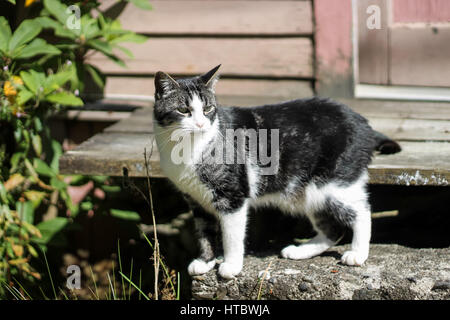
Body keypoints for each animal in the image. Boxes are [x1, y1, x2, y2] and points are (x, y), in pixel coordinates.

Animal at [152, 65, 400, 280]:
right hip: (307, 193)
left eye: (208, 109)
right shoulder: (195, 200)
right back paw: (301, 251)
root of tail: (363, 122)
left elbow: (231, 235)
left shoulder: (233, 196)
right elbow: (204, 232)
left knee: (362, 212)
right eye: (183, 110)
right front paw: (205, 261)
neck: (190, 149)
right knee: (332, 228)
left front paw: (231, 265)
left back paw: (358, 254)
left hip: (334, 184)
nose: (201, 124)